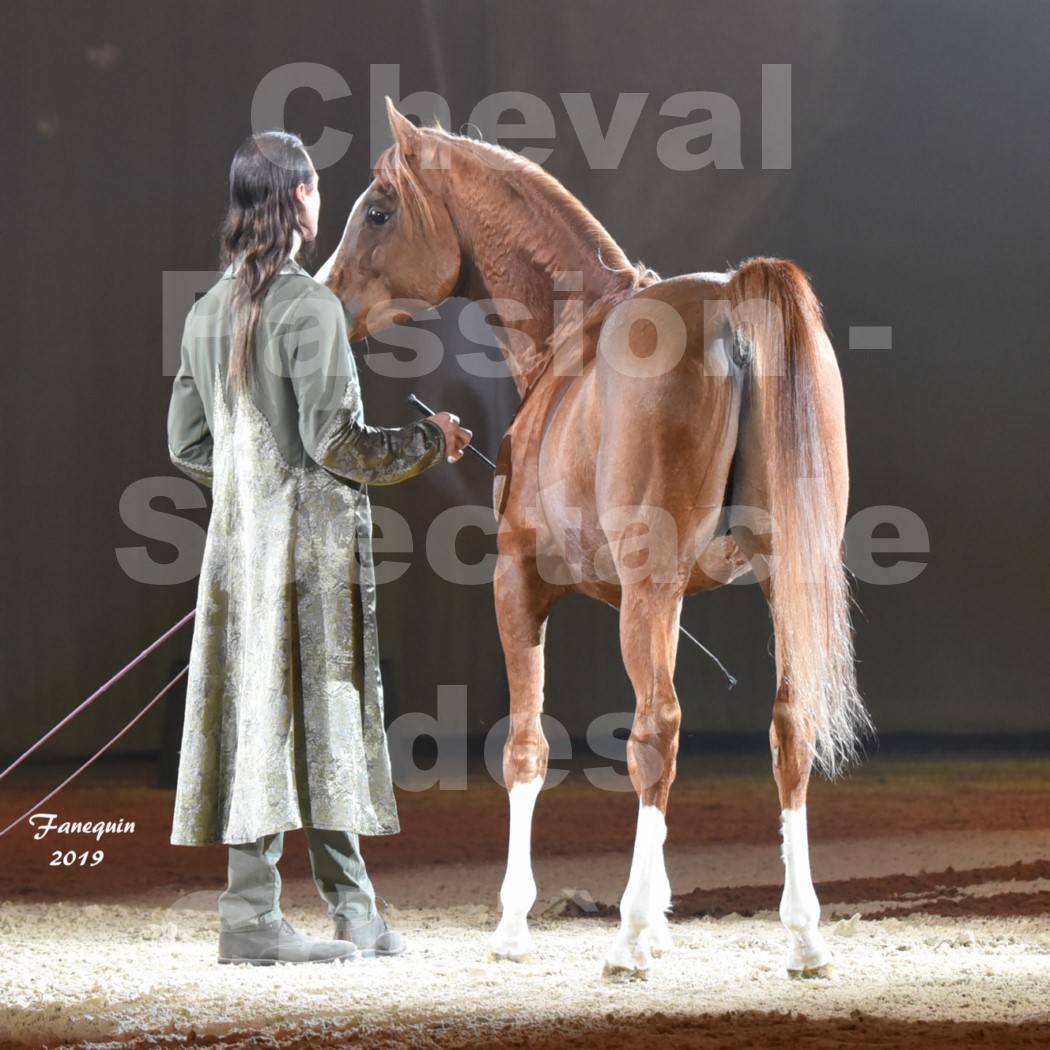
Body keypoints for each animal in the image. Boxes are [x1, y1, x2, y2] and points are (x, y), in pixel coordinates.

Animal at [319, 102, 869, 978]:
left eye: (378, 210)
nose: (322, 299)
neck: (569, 335)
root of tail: (730, 301)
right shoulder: (672, 599)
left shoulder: (521, 586)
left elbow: (526, 746)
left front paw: (516, 925)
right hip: (780, 580)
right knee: (789, 727)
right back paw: (804, 936)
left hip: (646, 590)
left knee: (657, 733)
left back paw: (629, 938)